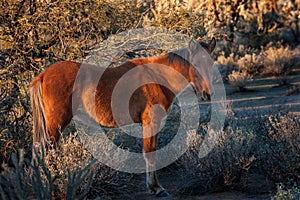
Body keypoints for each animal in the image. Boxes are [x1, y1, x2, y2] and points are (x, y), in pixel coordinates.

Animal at [29, 38, 216, 197]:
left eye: (211, 63)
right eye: (195, 64)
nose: (207, 94)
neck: (158, 76)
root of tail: (42, 75)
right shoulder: (151, 122)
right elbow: (150, 154)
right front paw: (156, 188)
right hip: (55, 125)